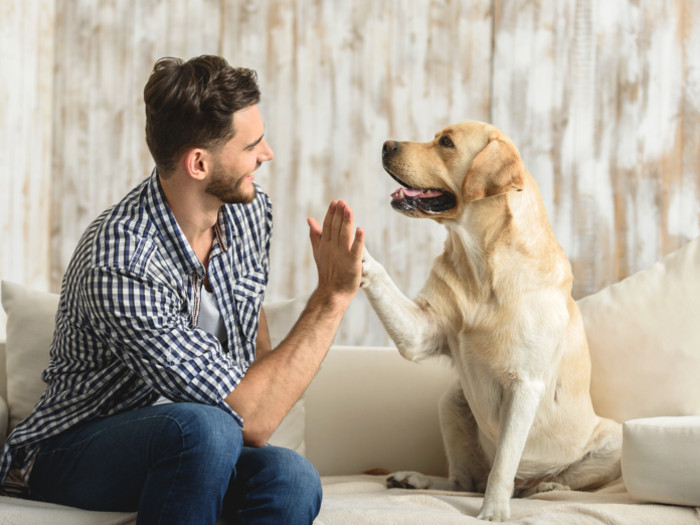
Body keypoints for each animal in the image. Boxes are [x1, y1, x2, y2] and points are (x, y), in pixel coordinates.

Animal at [364, 122, 620, 520]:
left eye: (447, 143)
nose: (386, 144)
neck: (481, 263)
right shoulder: (420, 332)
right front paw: (349, 248)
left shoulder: (525, 385)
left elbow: (504, 463)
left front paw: (494, 511)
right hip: (452, 402)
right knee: (463, 481)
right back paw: (414, 479)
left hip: (614, 440)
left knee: (541, 481)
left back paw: (546, 486)